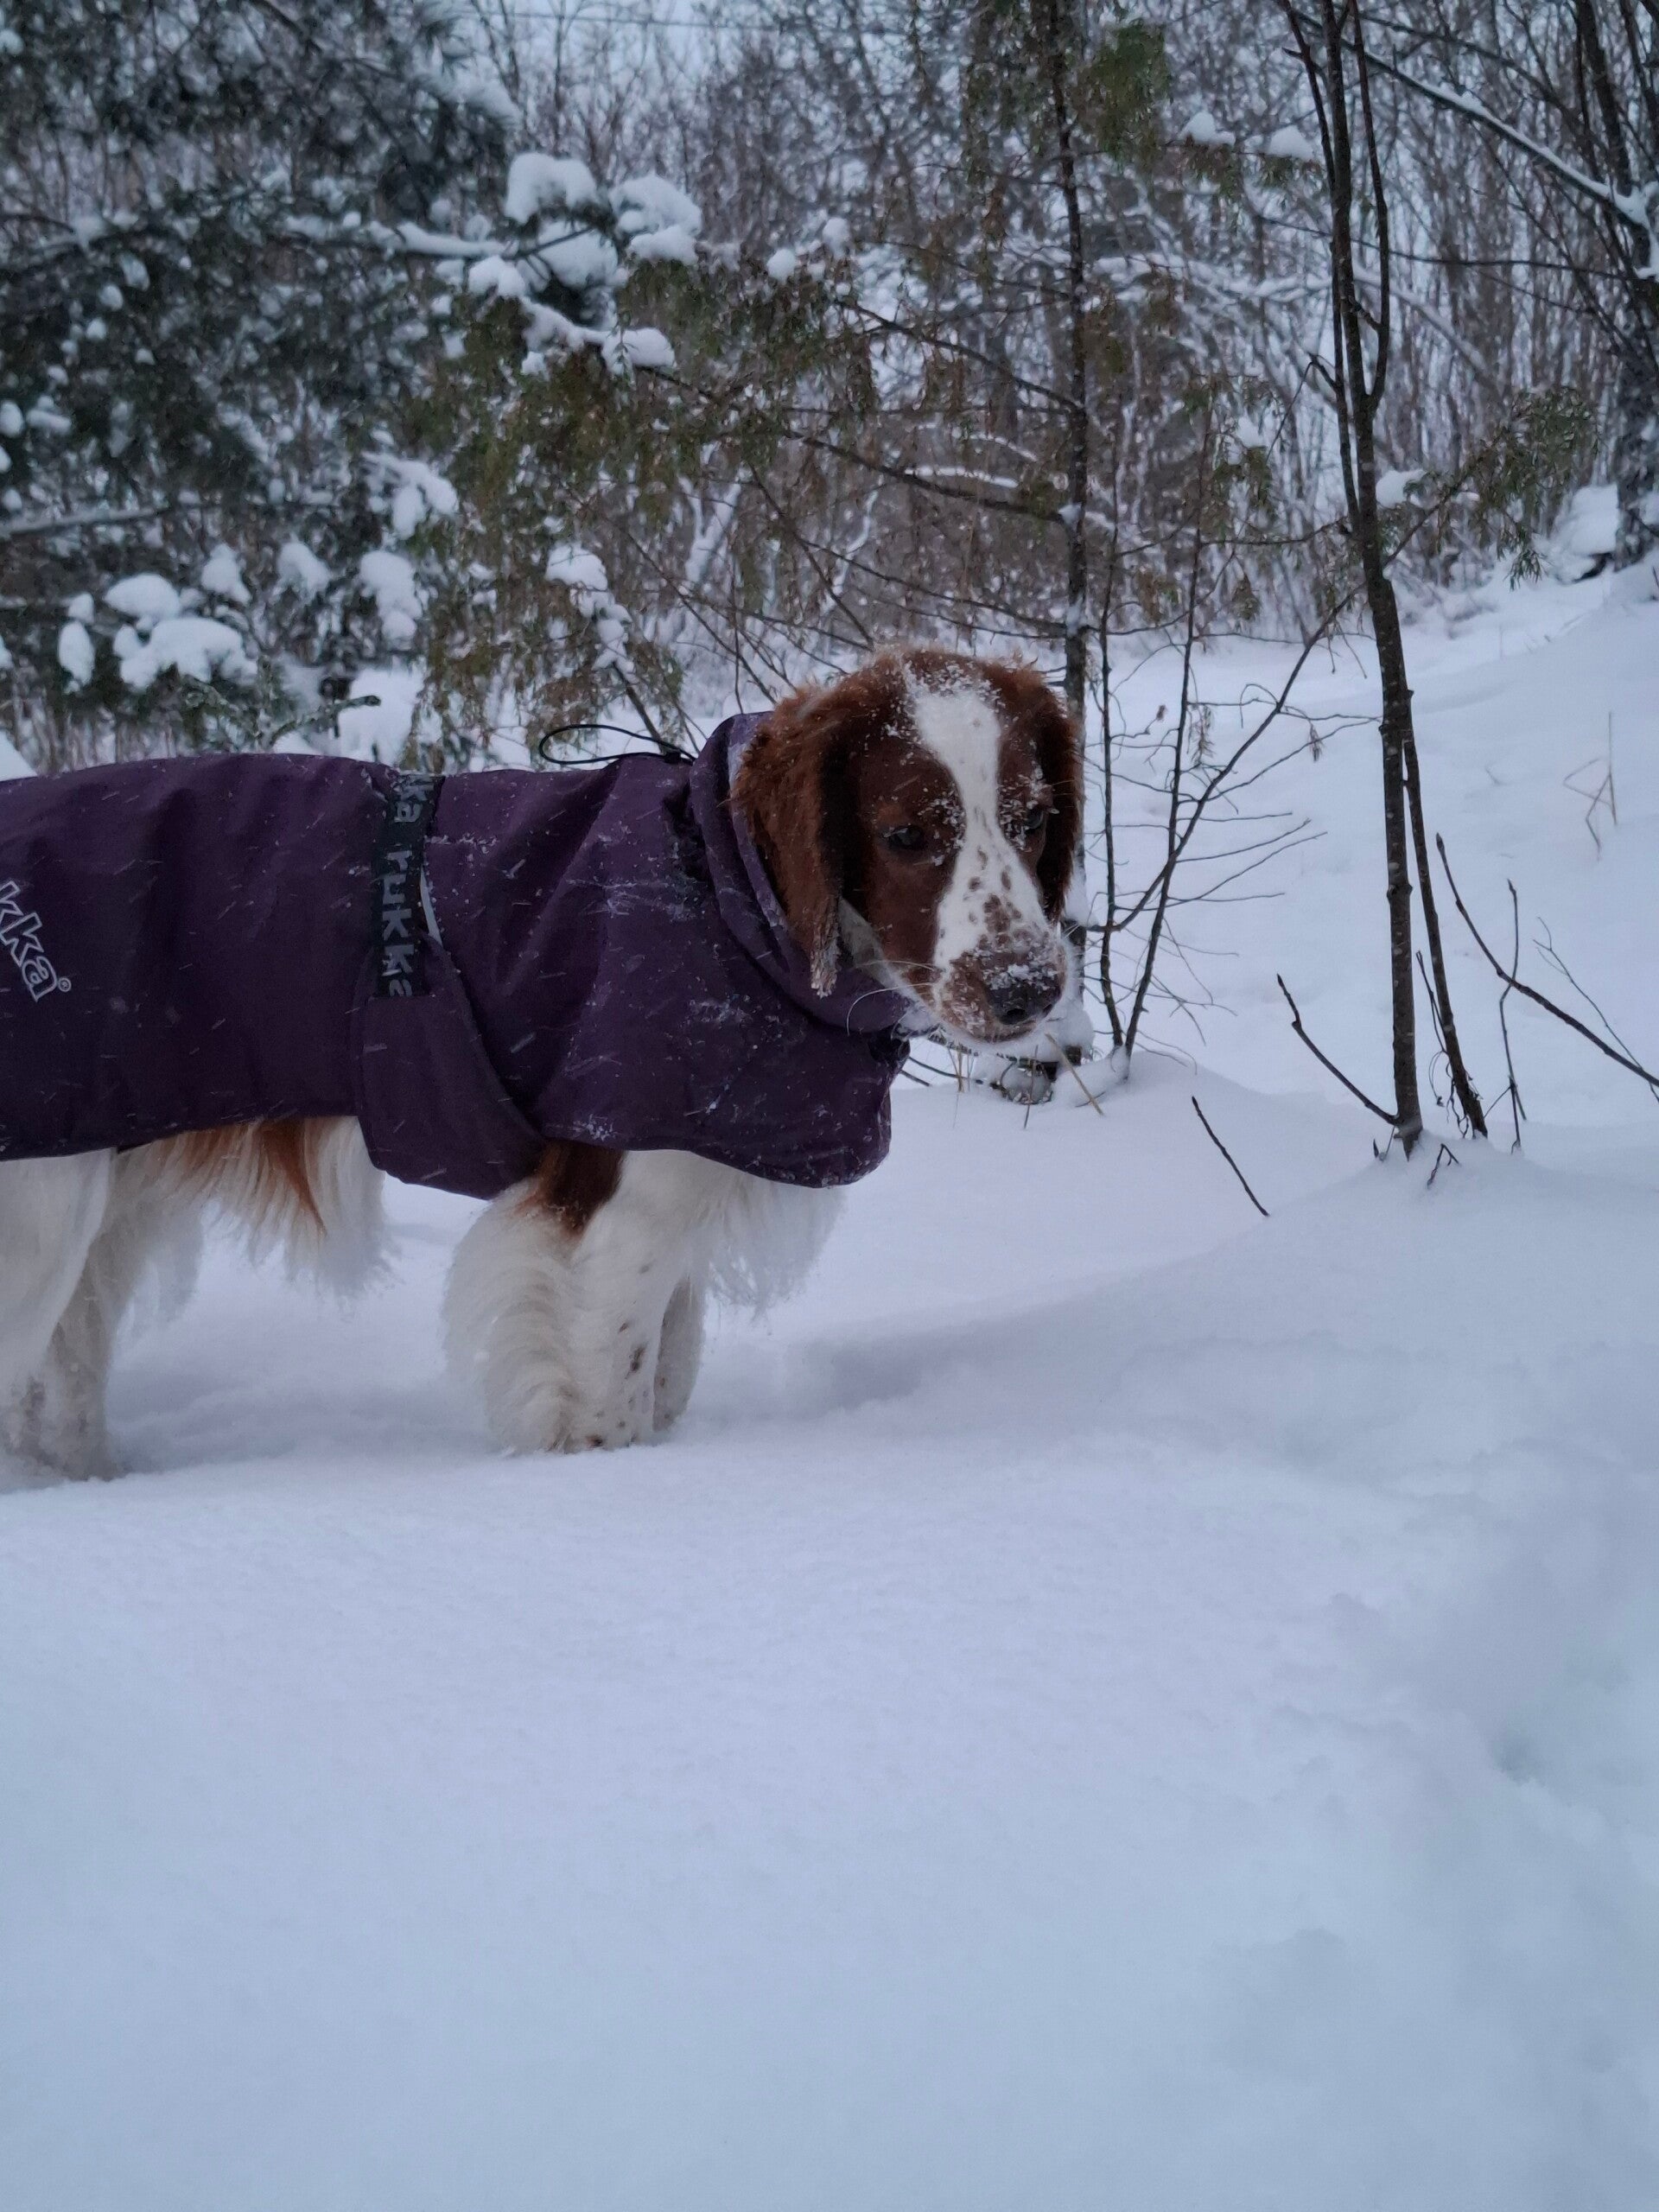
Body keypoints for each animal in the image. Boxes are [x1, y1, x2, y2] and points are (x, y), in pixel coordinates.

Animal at [0, 647, 1080, 1473]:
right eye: (906, 833)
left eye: (1034, 820)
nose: (1028, 988)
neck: (721, 889)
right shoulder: (613, 1217)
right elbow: (610, 1409)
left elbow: (667, 1381)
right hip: (39, 1225)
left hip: (102, 1203)